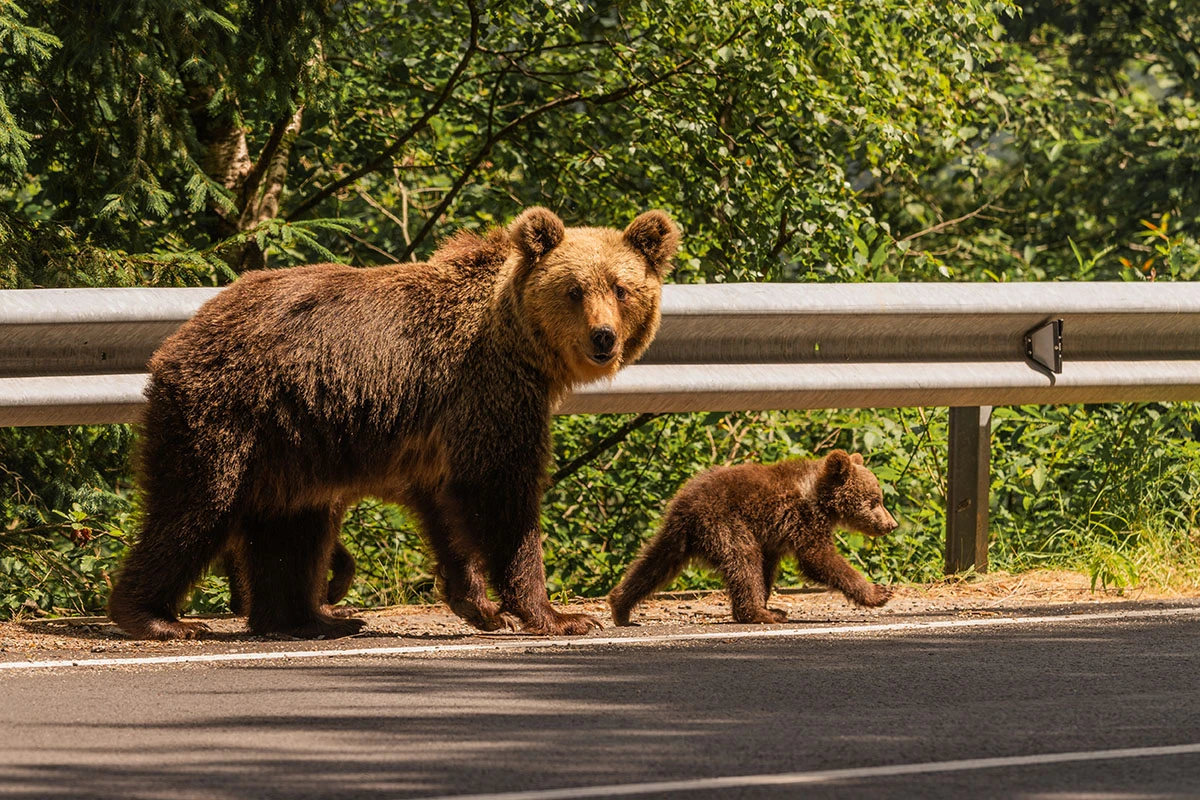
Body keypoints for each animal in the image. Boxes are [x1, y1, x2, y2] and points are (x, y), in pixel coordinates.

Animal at [107, 206, 679, 640]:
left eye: (622, 289)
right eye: (574, 290)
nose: (603, 337)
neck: (519, 342)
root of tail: (179, 336)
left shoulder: (442, 429)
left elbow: (446, 508)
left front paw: (479, 606)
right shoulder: (489, 392)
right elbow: (502, 494)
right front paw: (558, 614)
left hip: (292, 440)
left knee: (293, 526)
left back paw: (311, 619)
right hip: (229, 414)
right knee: (197, 505)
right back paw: (158, 618)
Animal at [608, 450, 898, 626]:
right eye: (875, 500)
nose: (891, 524)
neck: (822, 500)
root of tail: (686, 504)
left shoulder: (774, 536)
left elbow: (769, 568)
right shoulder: (804, 519)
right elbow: (819, 559)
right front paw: (879, 592)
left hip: (678, 534)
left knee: (654, 563)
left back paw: (621, 608)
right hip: (725, 523)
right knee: (744, 560)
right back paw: (762, 613)